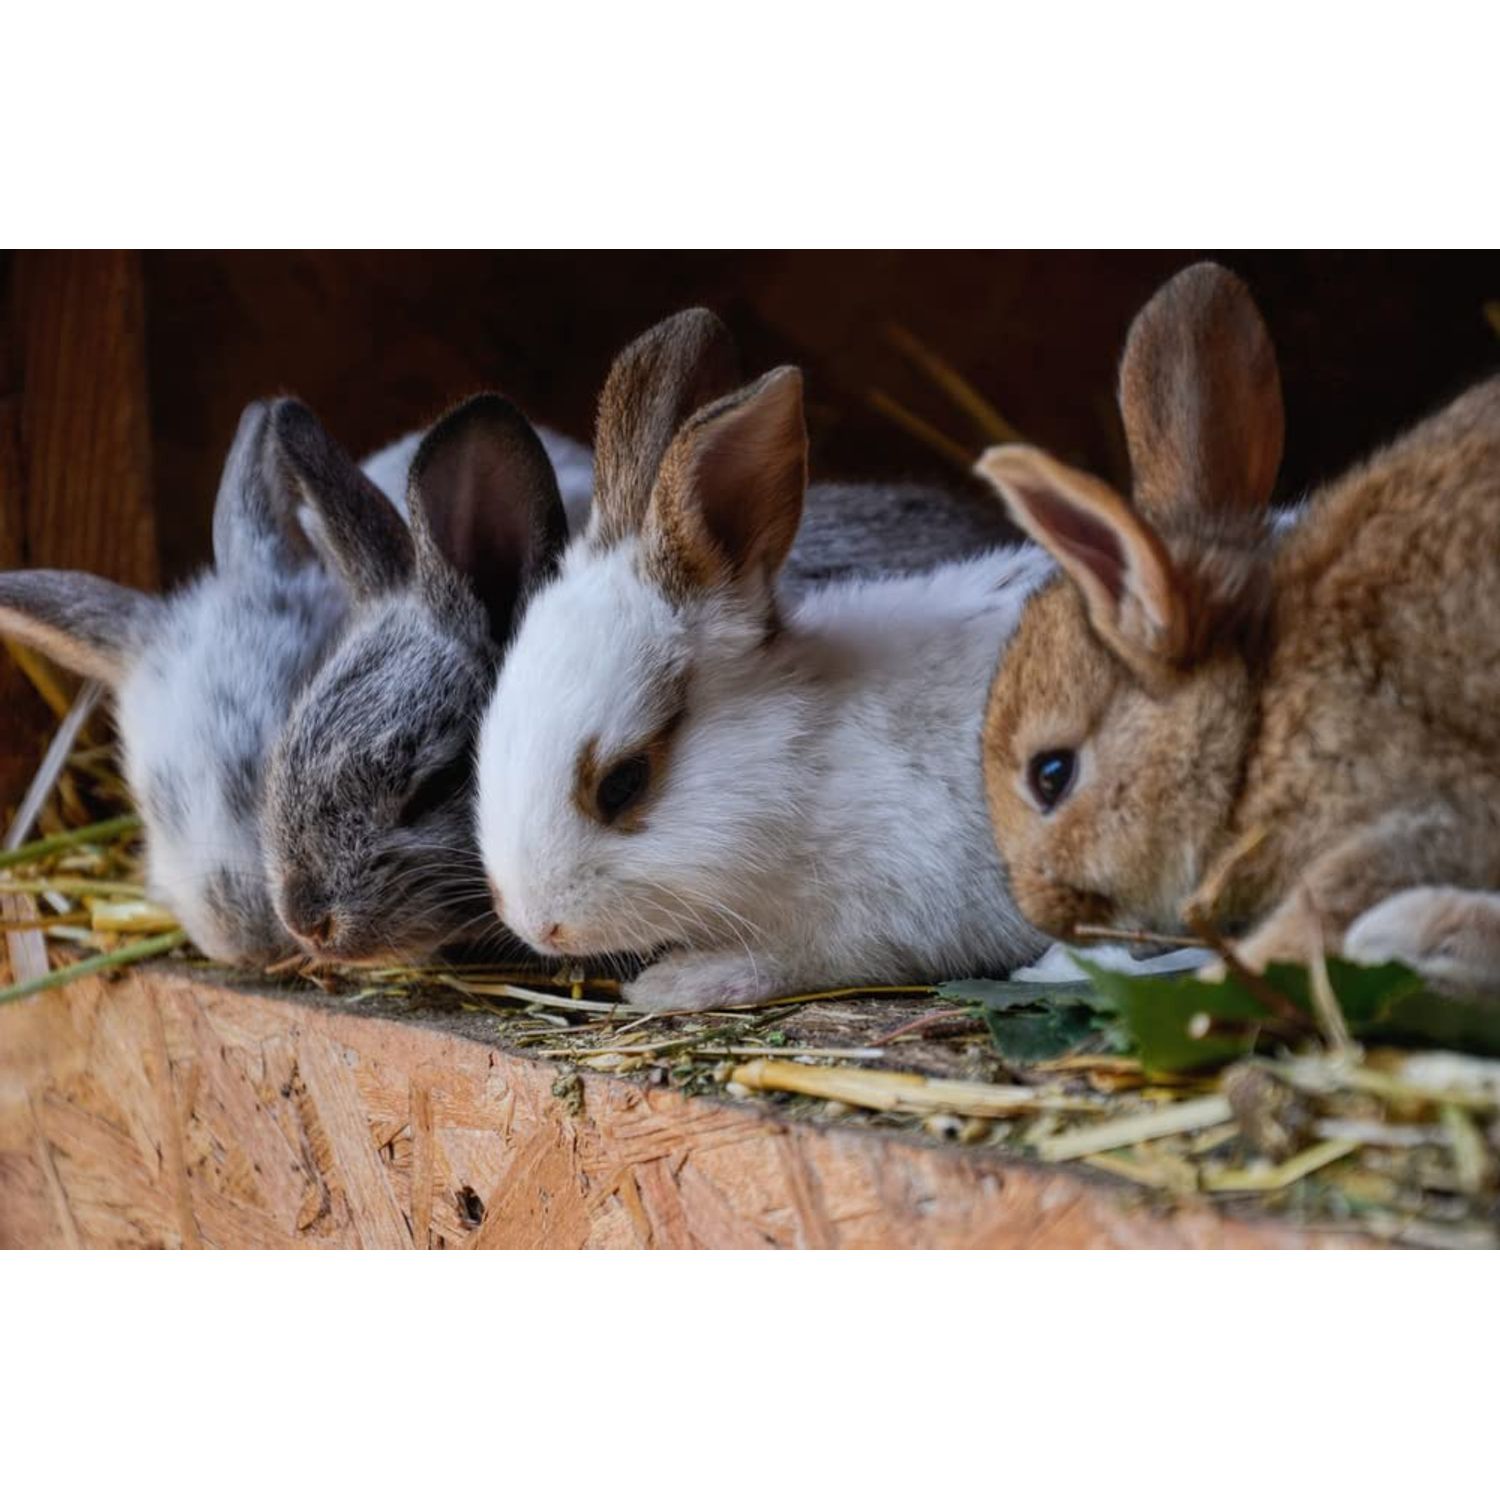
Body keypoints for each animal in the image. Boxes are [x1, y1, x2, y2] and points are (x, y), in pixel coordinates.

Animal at [472, 307, 1051, 1012]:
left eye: (623, 783)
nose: (536, 924)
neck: (800, 765)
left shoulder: (886, 914)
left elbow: (797, 957)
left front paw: (676, 983)